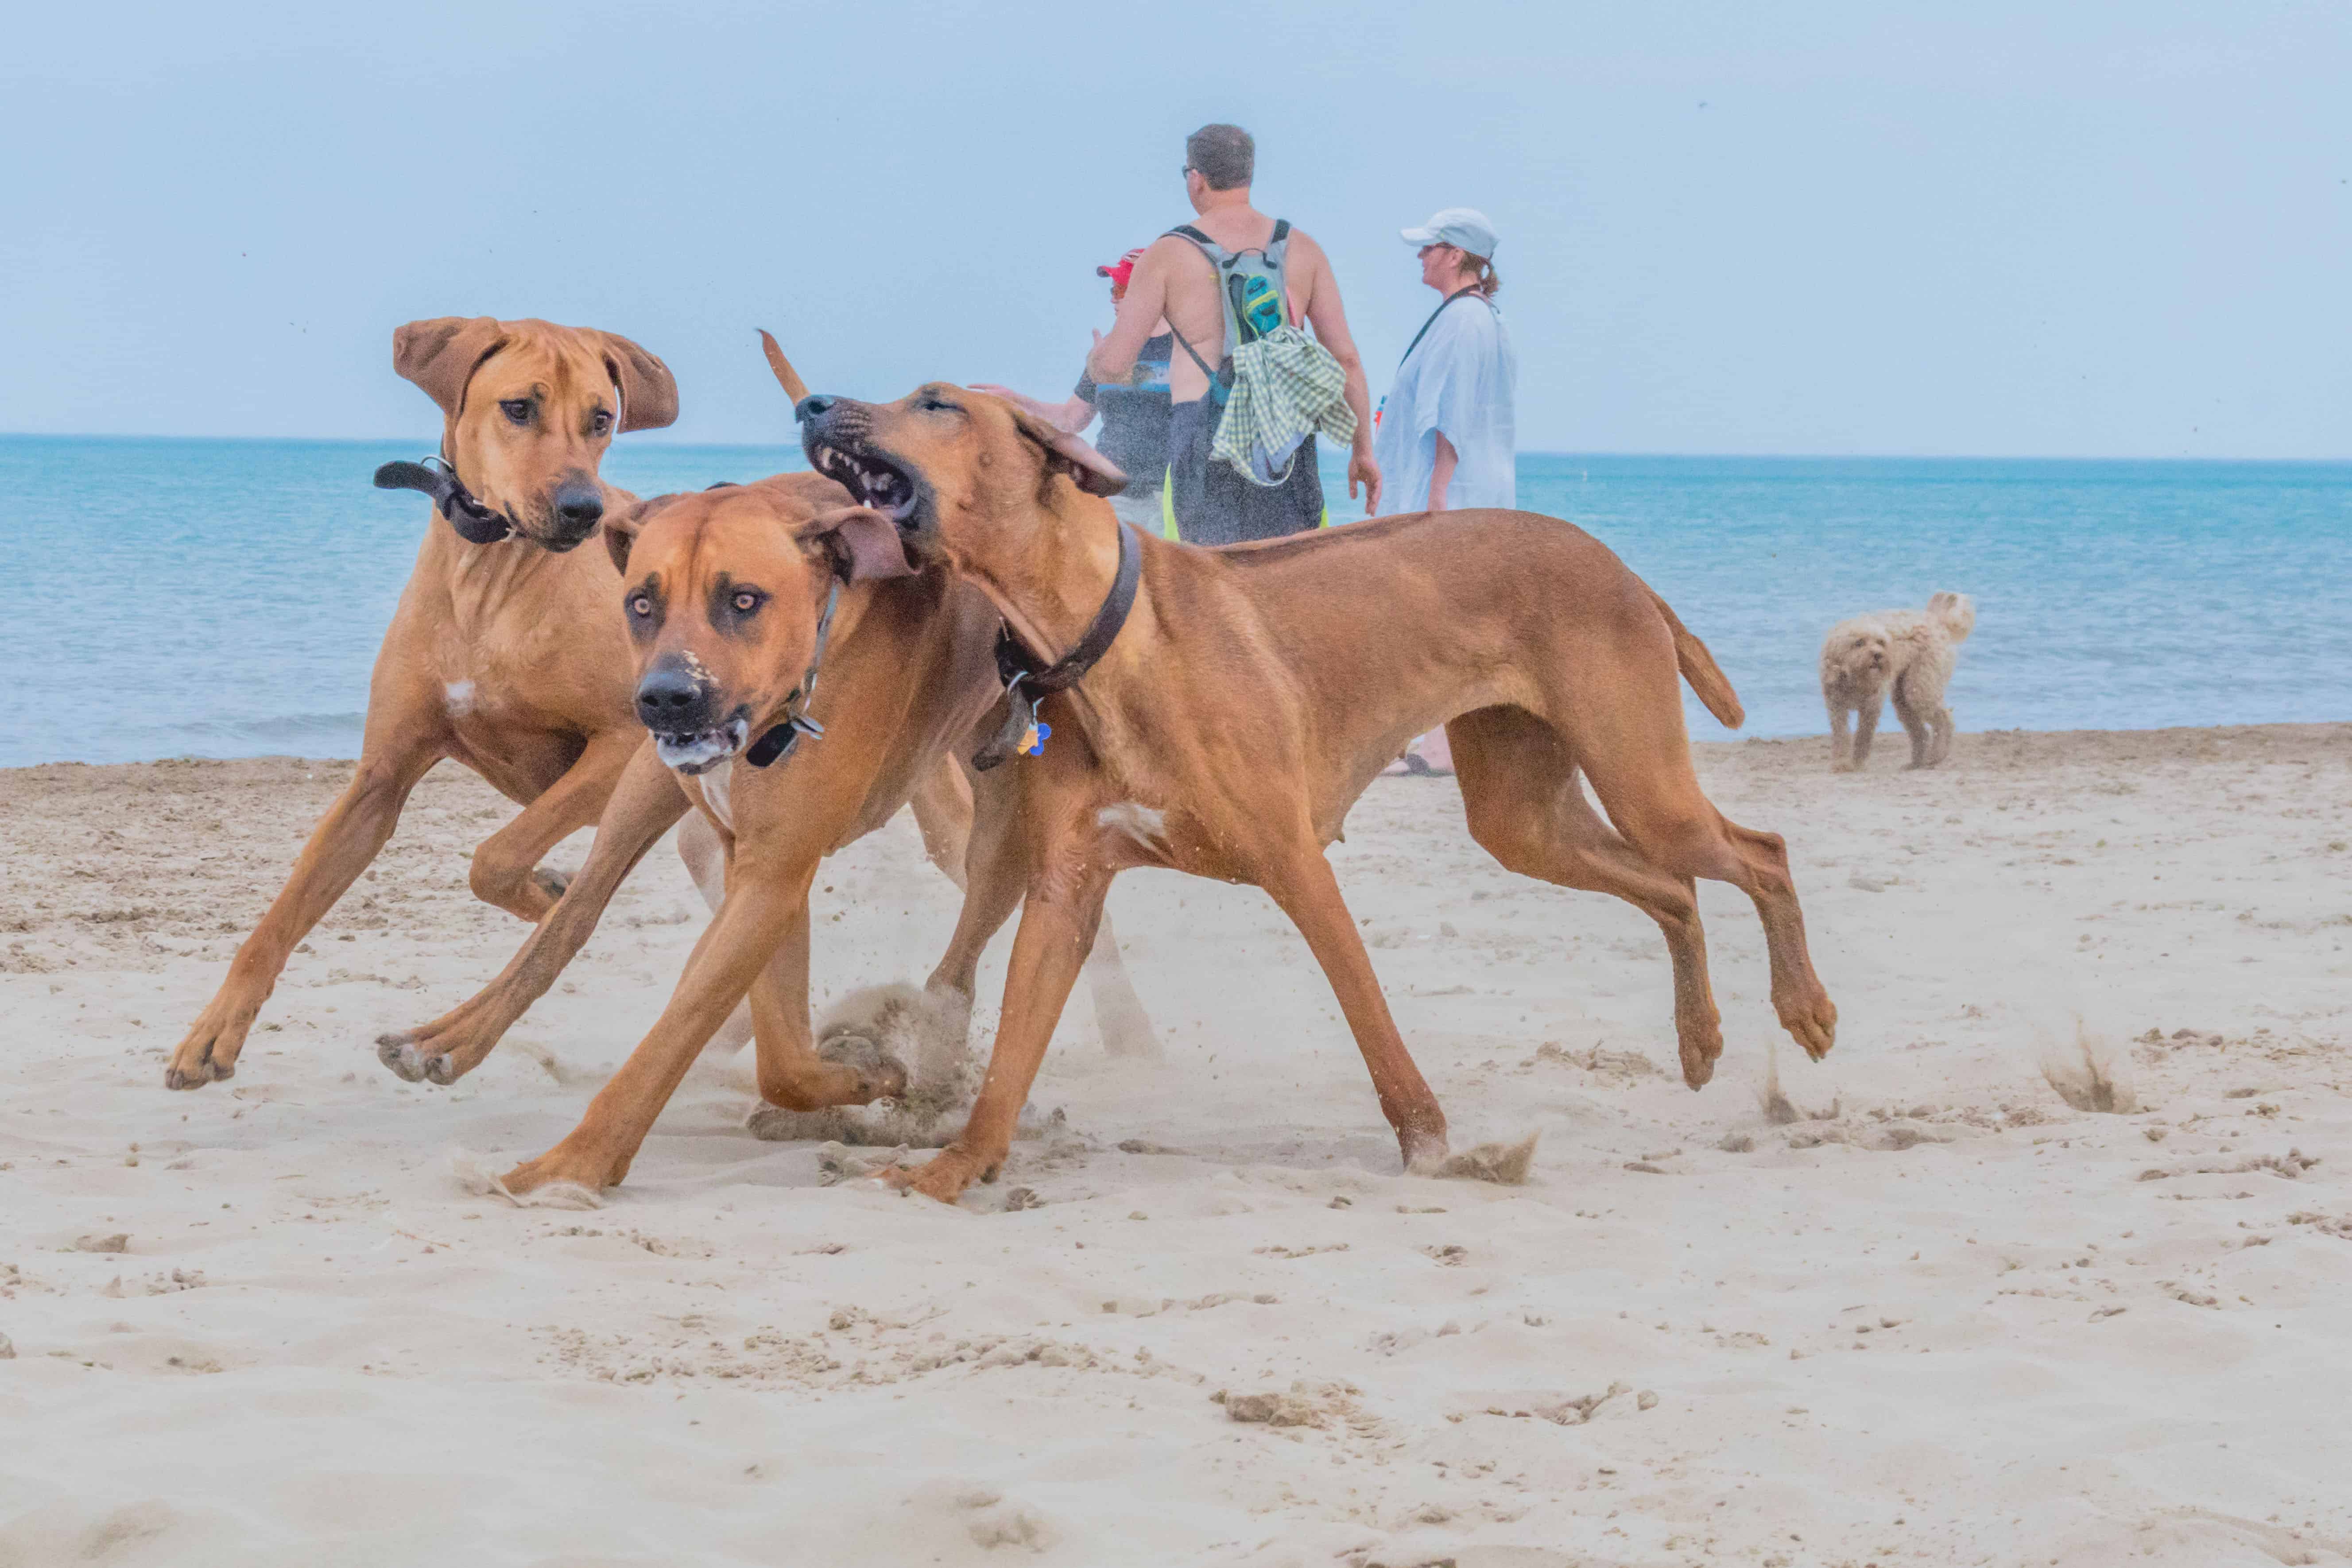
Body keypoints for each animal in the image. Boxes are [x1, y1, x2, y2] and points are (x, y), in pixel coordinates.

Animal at [160, 313, 682, 1086]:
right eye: (518, 408)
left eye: (601, 419)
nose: (583, 509)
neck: (493, 578)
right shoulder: (380, 778)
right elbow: (279, 916)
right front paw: (212, 1032)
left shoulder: (621, 742)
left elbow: (495, 856)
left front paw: (541, 890)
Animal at [799, 381, 1844, 1204]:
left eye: (936, 403)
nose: (811, 404)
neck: (1105, 633)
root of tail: (1617, 564)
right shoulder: (1064, 890)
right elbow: (1012, 1054)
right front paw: (955, 1167)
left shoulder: (1298, 864)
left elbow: (1373, 1025)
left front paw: (1435, 1152)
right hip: (1523, 821)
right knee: (1671, 888)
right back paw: (1700, 1040)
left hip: (1639, 777)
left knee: (1760, 854)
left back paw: (1804, 1008)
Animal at [1825, 592, 1976, 771]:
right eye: (1858, 643)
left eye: (1881, 642)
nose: (1878, 655)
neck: (1856, 677)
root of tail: (1937, 621)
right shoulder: (1836, 707)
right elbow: (1840, 735)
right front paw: (1841, 763)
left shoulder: (1871, 707)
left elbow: (1863, 735)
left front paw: (1858, 763)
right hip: (1903, 698)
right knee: (1921, 732)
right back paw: (1916, 762)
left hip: (1920, 687)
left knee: (1944, 718)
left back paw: (1937, 756)